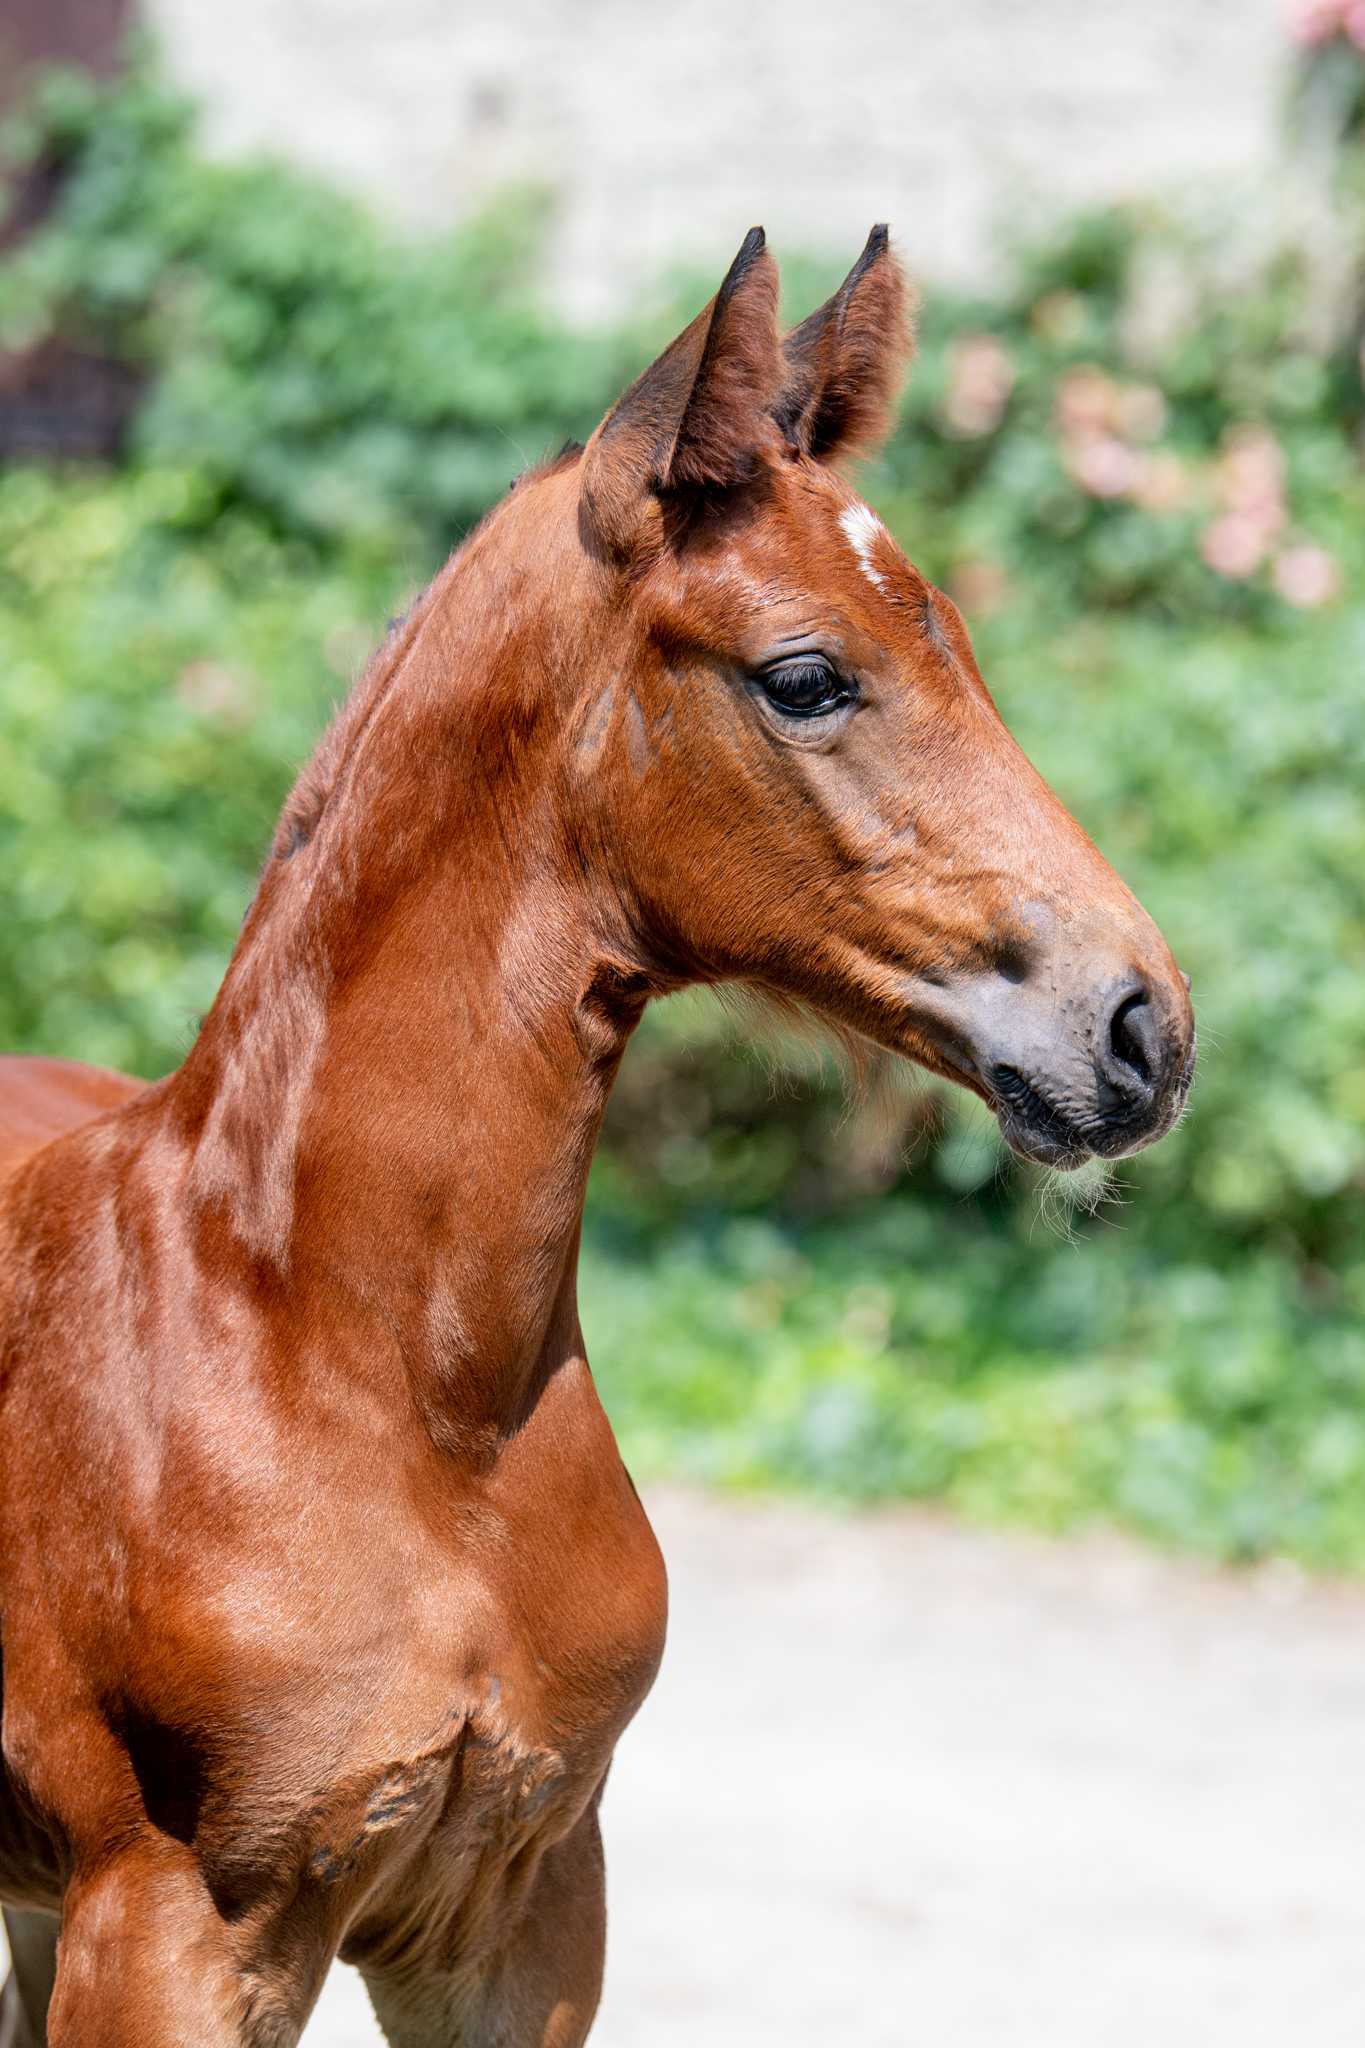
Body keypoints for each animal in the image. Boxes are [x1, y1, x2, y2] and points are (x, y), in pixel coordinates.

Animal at [0, 225, 1194, 2045]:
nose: (1141, 1025)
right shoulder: (171, 1928)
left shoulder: (527, 1904)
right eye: (805, 676)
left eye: (965, 646)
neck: (386, 1393)